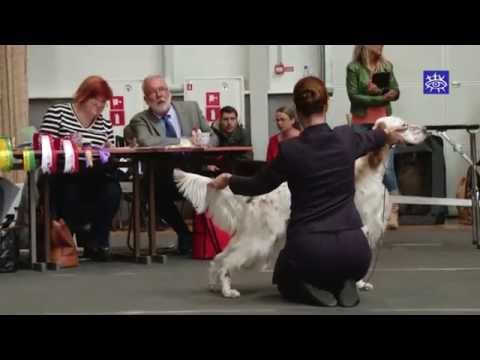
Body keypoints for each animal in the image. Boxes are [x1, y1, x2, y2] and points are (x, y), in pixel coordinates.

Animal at [173, 116, 428, 298]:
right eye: (404, 126)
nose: (426, 130)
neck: (368, 166)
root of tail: (253, 198)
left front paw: (362, 284)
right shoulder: (365, 225)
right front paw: (357, 283)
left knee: (218, 257)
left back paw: (214, 286)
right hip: (259, 240)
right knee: (226, 260)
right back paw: (227, 291)